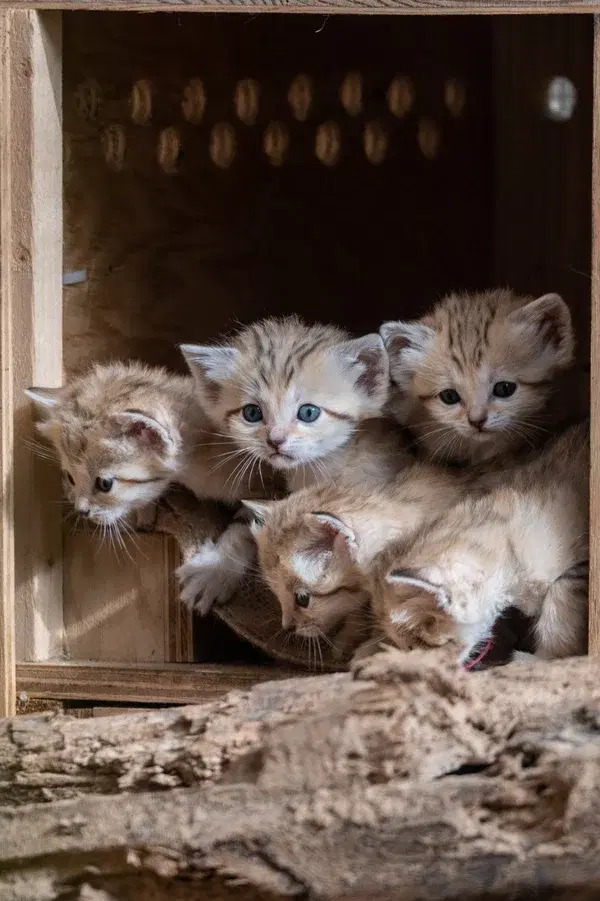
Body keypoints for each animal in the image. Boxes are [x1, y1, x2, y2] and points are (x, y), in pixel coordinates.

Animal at [27, 362, 280, 608]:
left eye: (105, 484)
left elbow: (249, 527)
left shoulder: (270, 484)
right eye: (70, 478)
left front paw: (214, 571)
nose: (82, 511)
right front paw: (144, 510)